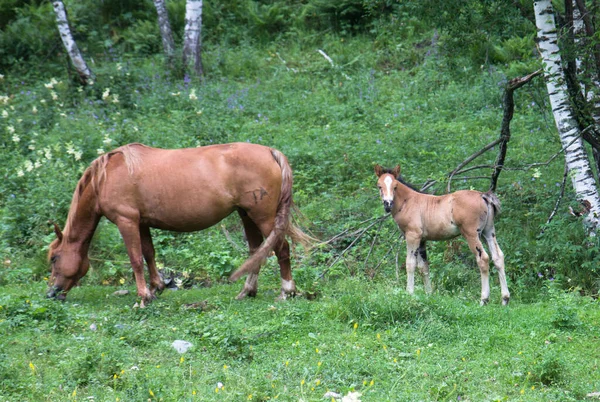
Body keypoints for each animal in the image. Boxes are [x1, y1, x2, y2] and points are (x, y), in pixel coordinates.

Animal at [47, 143, 312, 304]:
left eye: (54, 258)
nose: (51, 293)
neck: (105, 177)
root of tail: (270, 151)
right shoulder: (142, 223)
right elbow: (149, 253)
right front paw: (156, 288)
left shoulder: (127, 221)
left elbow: (135, 259)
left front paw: (142, 298)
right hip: (247, 215)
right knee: (257, 251)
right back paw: (247, 291)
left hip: (263, 217)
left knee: (281, 249)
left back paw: (287, 291)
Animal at [376, 163, 510, 304]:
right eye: (379, 186)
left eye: (395, 186)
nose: (388, 204)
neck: (408, 201)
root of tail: (483, 196)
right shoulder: (422, 240)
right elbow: (424, 267)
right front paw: (429, 294)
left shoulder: (412, 235)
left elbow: (410, 264)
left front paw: (409, 293)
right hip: (488, 232)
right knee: (498, 257)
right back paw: (505, 299)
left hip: (472, 234)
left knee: (483, 258)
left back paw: (484, 299)